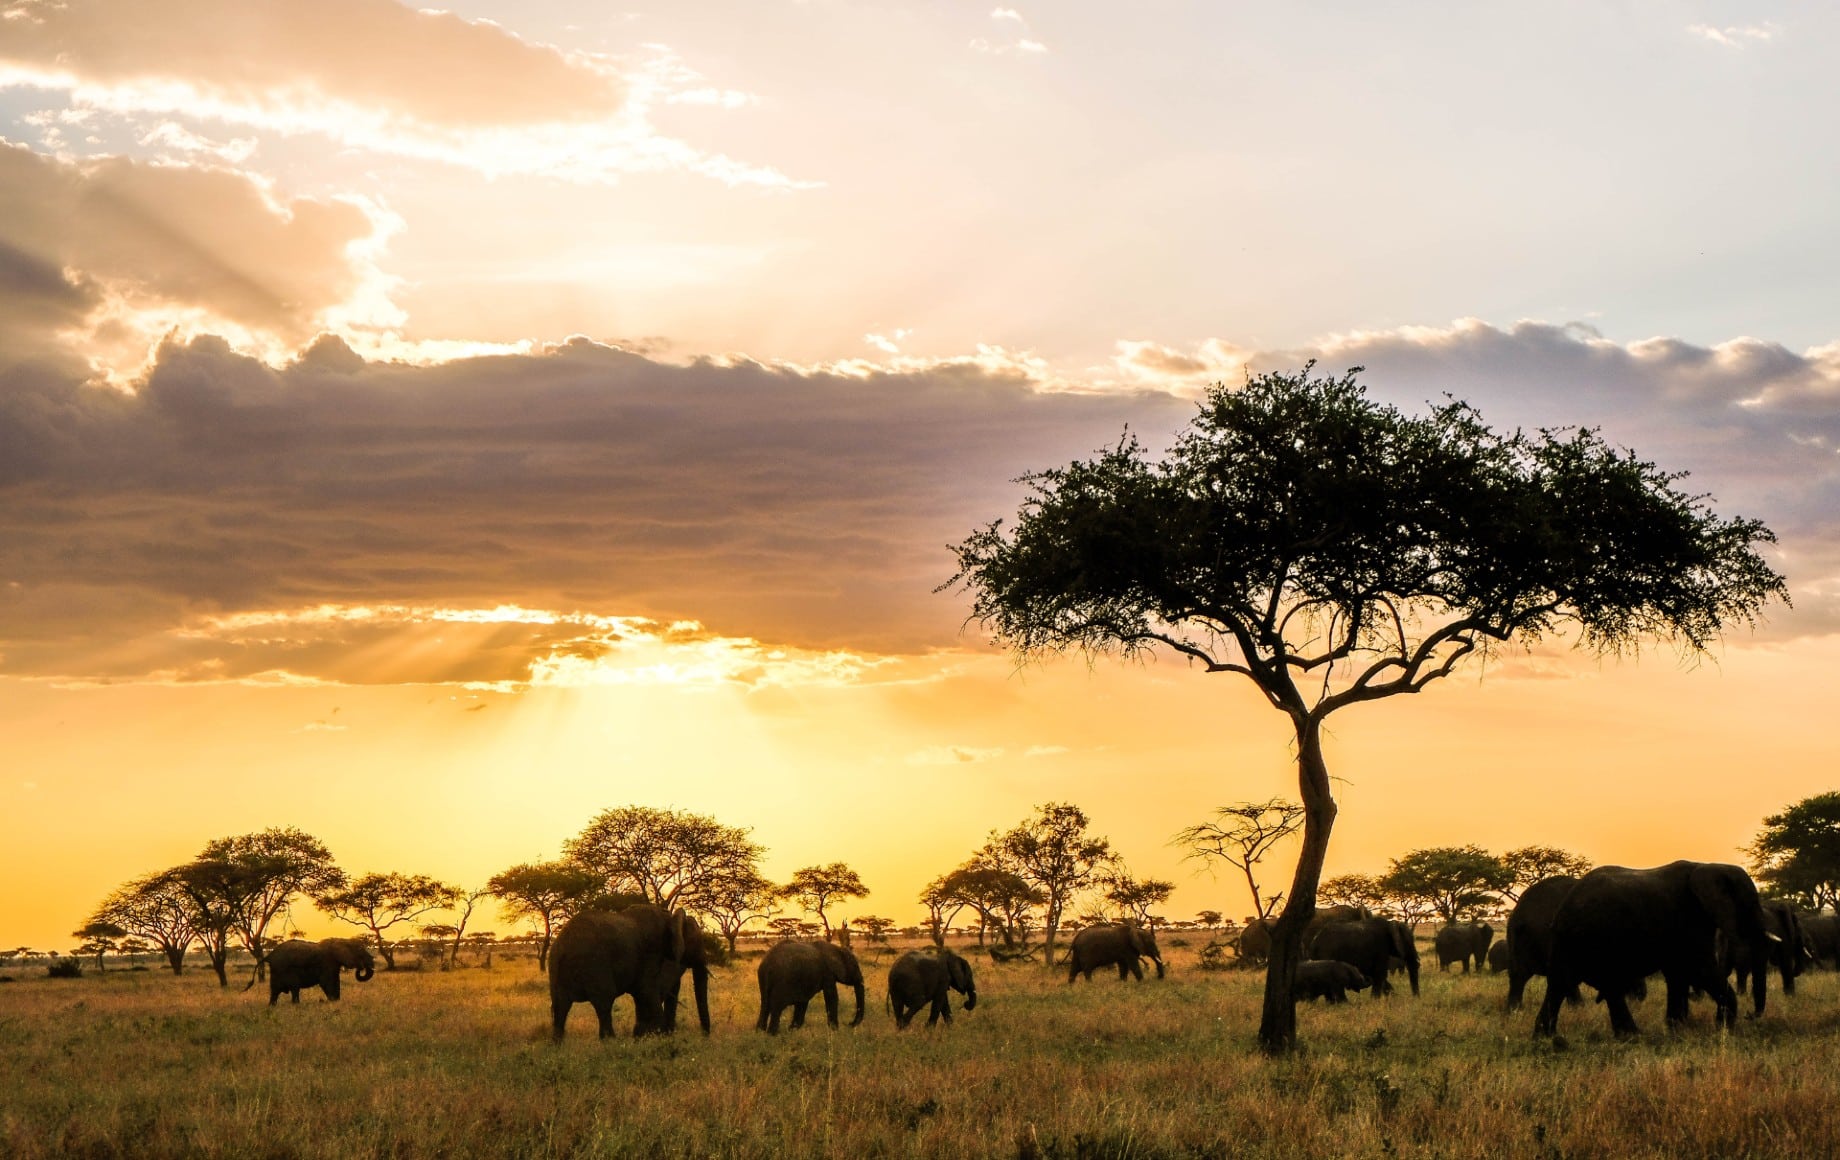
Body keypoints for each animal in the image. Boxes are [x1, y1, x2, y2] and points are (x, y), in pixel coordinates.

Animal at [544, 905, 710, 1038]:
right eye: (697, 942)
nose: (705, 1036)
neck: (669, 917)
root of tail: (562, 945)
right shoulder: (651, 951)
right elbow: (647, 990)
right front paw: (660, 1037)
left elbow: (642, 994)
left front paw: (642, 1037)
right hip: (594, 965)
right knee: (604, 1003)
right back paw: (610, 1042)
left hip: (556, 970)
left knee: (560, 1007)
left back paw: (557, 1045)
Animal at [1530, 858, 1773, 1038]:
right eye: (1750, 902)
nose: (1751, 1015)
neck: (1708, 865)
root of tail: (1562, 912)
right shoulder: (1688, 920)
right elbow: (1700, 968)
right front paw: (1723, 1029)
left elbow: (1678, 972)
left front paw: (1676, 1029)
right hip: (1592, 938)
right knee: (1588, 984)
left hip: (1574, 941)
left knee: (1566, 984)